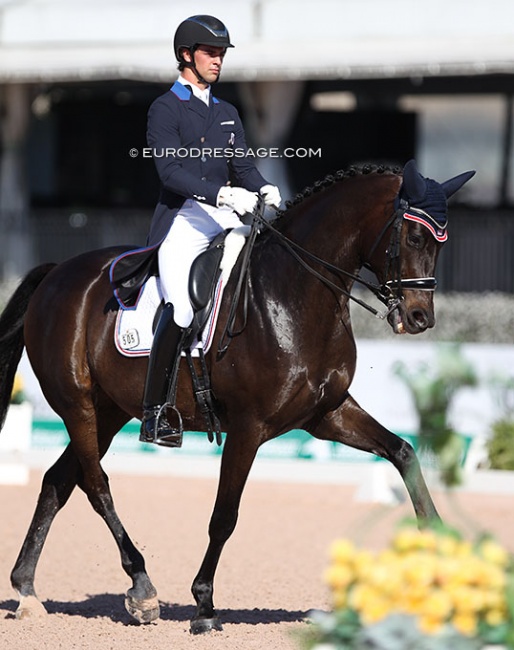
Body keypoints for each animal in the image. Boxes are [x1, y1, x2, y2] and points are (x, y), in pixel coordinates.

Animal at [0, 161, 472, 628]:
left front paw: (440, 553)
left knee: (58, 481)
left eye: (441, 243)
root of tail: (58, 272)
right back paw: (142, 589)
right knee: (96, 486)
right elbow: (224, 515)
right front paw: (204, 605)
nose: (420, 318)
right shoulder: (248, 427)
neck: (295, 295)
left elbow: (403, 452)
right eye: (413, 237)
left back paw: (27, 590)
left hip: (111, 410)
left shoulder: (327, 415)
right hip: (77, 405)